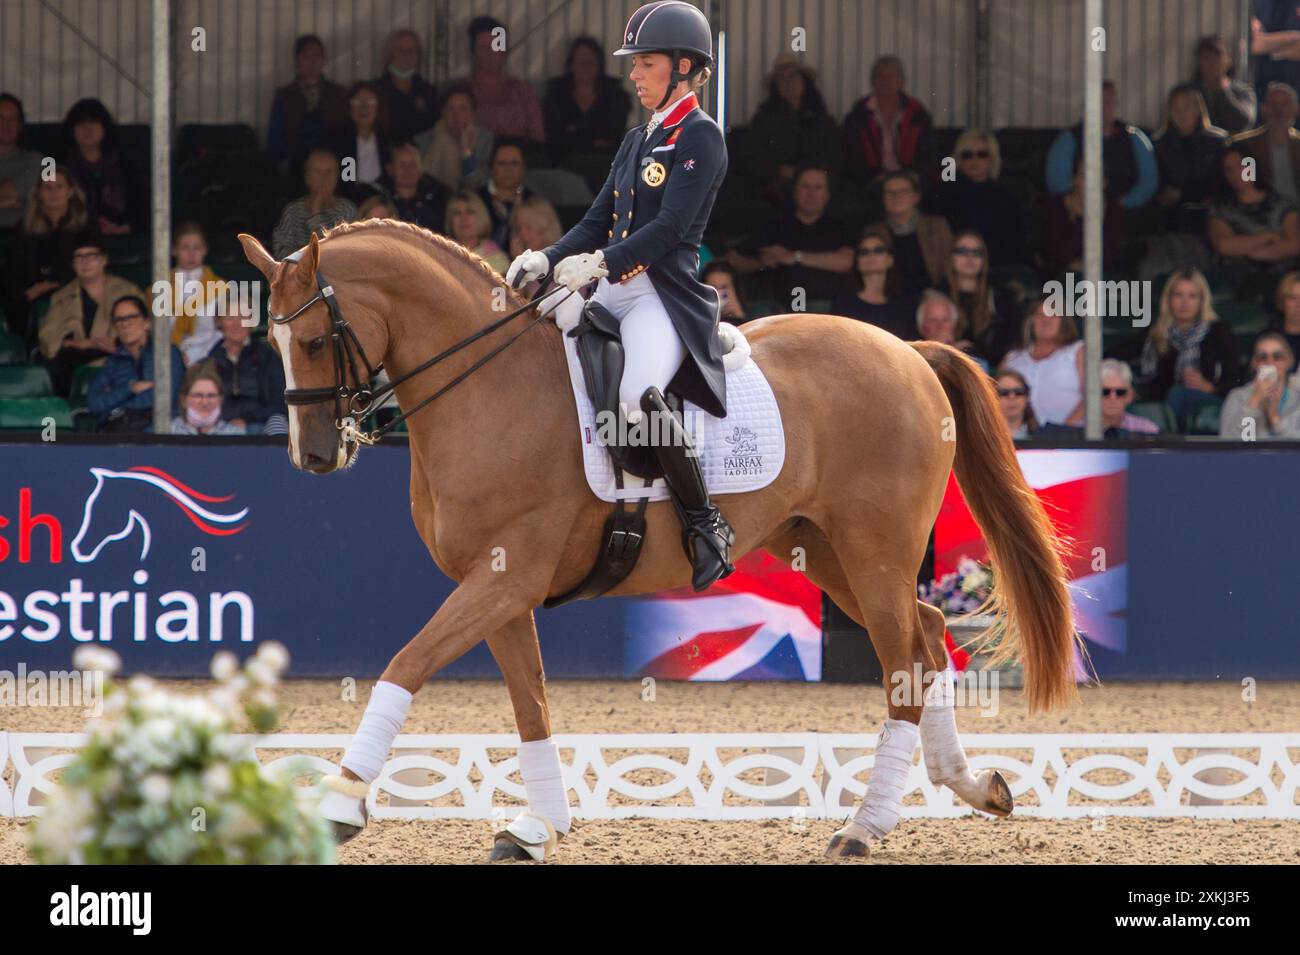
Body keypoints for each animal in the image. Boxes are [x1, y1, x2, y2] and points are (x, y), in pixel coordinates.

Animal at [241, 220, 1076, 862]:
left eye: (310, 340)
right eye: (272, 343)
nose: (314, 455)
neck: (486, 389)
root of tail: (908, 351)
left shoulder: (504, 578)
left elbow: (405, 663)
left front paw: (341, 801)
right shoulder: (500, 586)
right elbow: (531, 703)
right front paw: (538, 824)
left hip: (874, 550)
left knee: (905, 663)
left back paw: (864, 826)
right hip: (824, 548)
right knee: (929, 636)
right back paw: (971, 784)